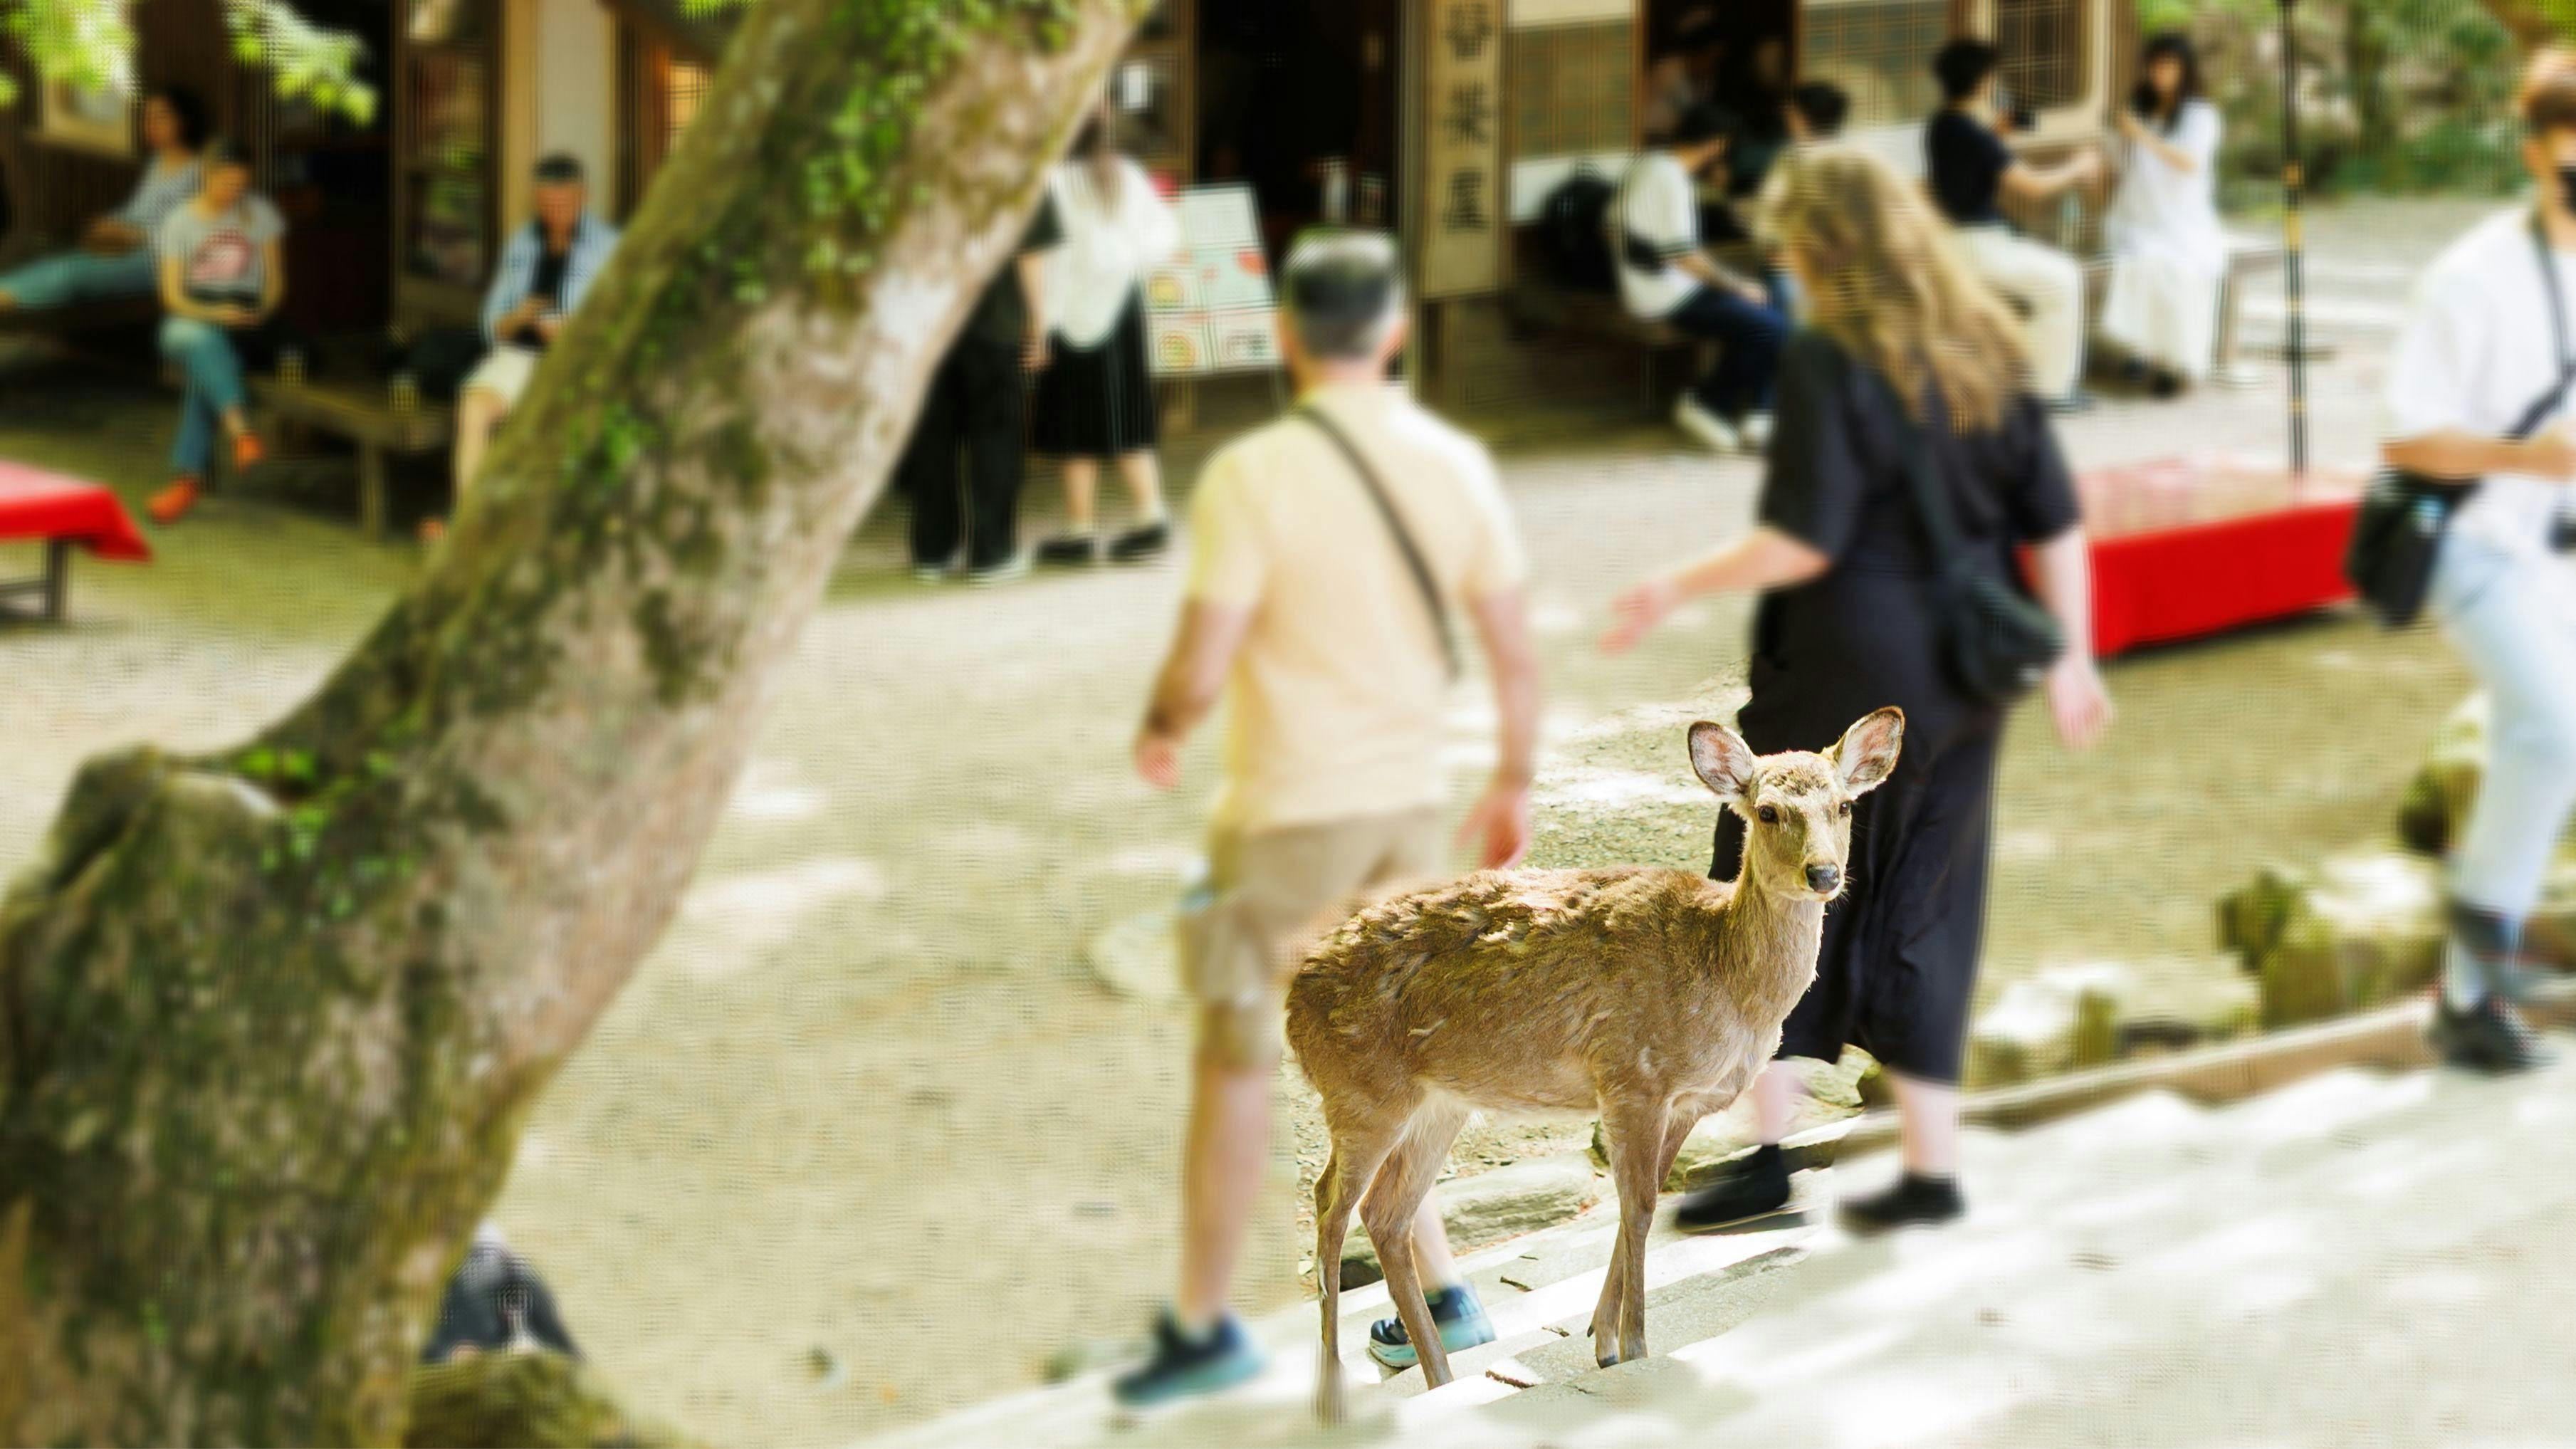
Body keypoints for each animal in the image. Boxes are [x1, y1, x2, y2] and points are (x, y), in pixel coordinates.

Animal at [1286, 708, 1904, 1419]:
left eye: (1845, 805)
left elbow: (1646, 1199)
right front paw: (1635, 1346)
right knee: (1328, 1205)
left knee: (1386, 1214)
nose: (1823, 874)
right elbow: (1637, 1206)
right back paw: (1332, 1401)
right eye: (1768, 810)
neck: (1726, 978)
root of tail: (1291, 998)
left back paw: (1441, 1377)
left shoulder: (1686, 1100)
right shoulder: (1633, 1075)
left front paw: (1604, 1340)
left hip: (1439, 1104)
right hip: (1361, 1089)